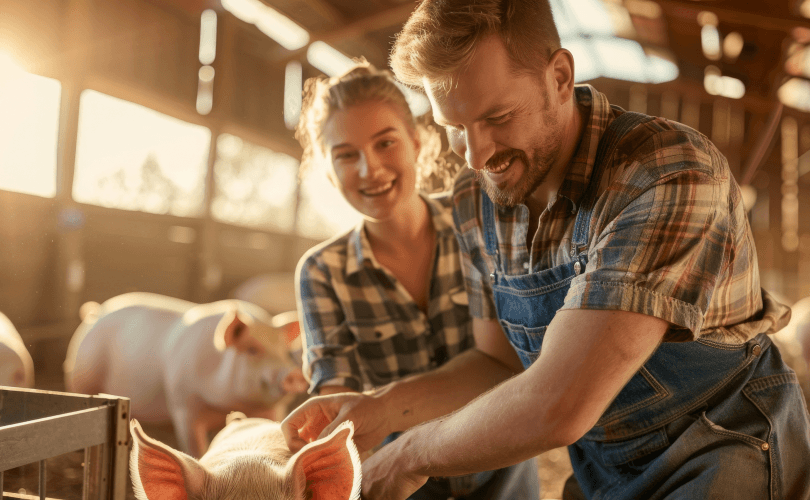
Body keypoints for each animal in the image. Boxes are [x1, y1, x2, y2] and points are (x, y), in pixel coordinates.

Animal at [63, 292, 308, 458]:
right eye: (252, 350)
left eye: (286, 353)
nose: (294, 373)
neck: (227, 405)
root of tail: (96, 311)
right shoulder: (184, 405)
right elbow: (195, 446)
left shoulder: (270, 410)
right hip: (80, 377)